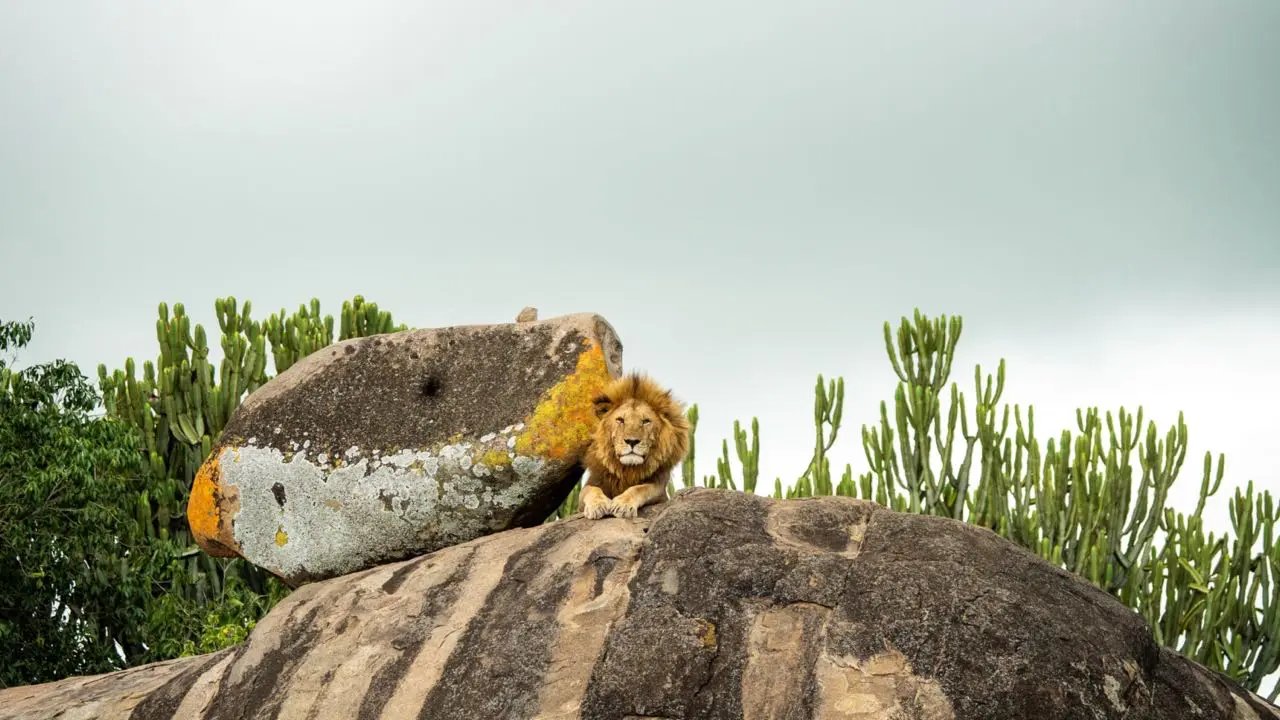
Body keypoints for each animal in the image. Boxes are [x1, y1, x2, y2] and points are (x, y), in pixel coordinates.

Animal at [579, 372, 691, 520]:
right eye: (620, 420)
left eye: (645, 421)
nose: (632, 441)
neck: (628, 470)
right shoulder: (592, 483)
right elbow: (590, 490)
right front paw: (598, 505)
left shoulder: (659, 489)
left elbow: (640, 488)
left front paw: (622, 505)